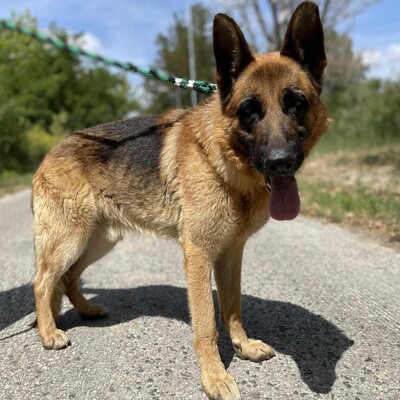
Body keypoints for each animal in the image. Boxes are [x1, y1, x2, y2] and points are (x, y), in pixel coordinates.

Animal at [32, 2, 328, 396]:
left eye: (296, 103)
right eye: (249, 110)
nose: (280, 163)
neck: (224, 162)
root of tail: (49, 153)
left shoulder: (231, 252)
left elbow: (232, 306)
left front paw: (243, 345)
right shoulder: (199, 254)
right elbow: (206, 323)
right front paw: (215, 377)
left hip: (98, 241)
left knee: (67, 279)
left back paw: (86, 311)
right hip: (70, 240)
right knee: (43, 282)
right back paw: (48, 333)